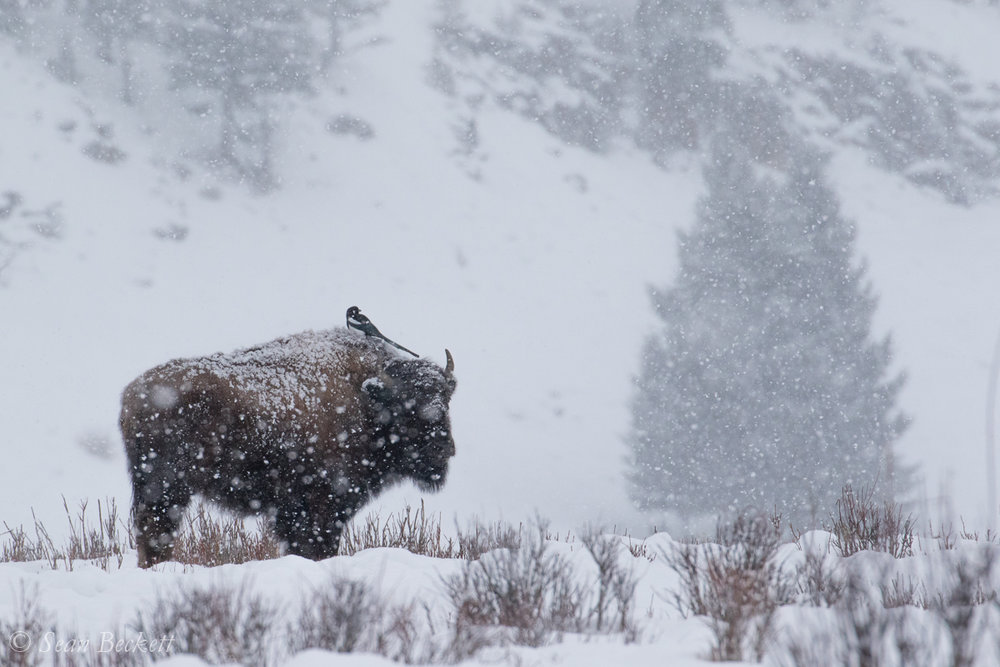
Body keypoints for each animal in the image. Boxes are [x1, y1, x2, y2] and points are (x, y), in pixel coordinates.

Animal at [118, 328, 458, 568]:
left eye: (445, 400)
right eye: (407, 406)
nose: (445, 450)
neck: (364, 397)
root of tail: (133, 394)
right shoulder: (321, 507)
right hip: (166, 488)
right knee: (156, 531)